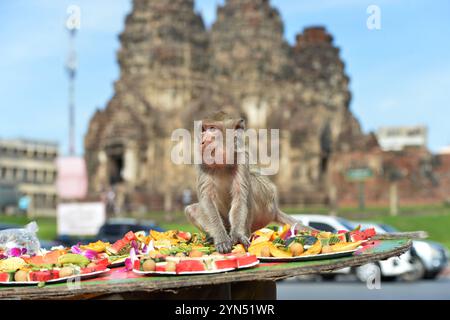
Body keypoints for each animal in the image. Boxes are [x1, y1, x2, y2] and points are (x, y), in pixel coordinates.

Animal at [185, 111, 314, 254]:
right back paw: (213, 237)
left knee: (251, 187)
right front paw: (221, 238)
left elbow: (240, 197)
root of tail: (275, 209)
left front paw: (237, 236)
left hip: (266, 208)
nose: (202, 139)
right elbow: (207, 200)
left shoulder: (242, 157)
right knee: (191, 210)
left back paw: (244, 234)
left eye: (212, 128)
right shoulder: (202, 162)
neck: (222, 162)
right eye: (204, 129)